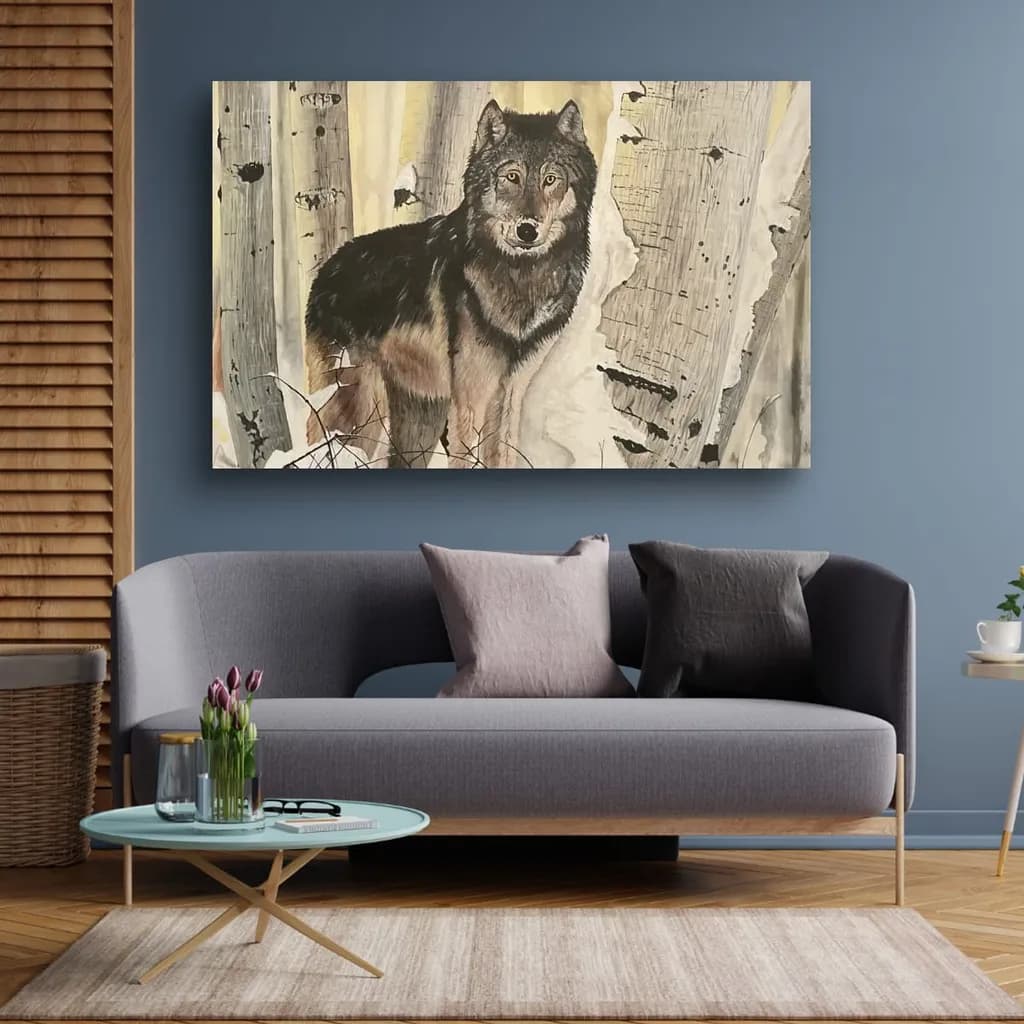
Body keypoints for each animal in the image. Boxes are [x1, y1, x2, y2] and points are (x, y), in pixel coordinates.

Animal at [304, 98, 598, 467]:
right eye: (512, 177)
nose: (527, 230)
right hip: (360, 409)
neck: (521, 277)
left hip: (417, 421)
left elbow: (504, 455)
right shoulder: (471, 397)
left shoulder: (511, 392)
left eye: (550, 179)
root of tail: (325, 271)